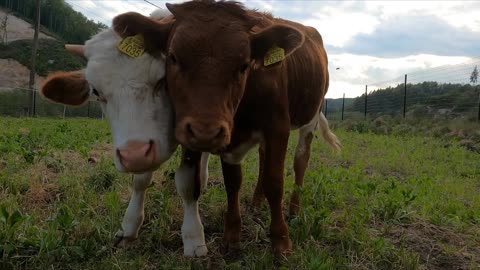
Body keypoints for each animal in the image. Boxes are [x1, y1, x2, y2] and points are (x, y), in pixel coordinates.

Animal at [39, 8, 208, 258]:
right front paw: (130, 225)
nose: (134, 155)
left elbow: (187, 184)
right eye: (96, 92)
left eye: (162, 80)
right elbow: (140, 181)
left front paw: (193, 237)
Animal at [114, 0, 336, 258]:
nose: (204, 131)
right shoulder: (229, 139)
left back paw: (293, 209)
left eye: (244, 65)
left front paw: (281, 241)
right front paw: (232, 237)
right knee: (263, 158)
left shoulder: (277, 128)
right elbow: (233, 183)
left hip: (311, 116)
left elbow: (275, 182)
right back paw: (256, 202)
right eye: (173, 57)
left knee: (301, 160)